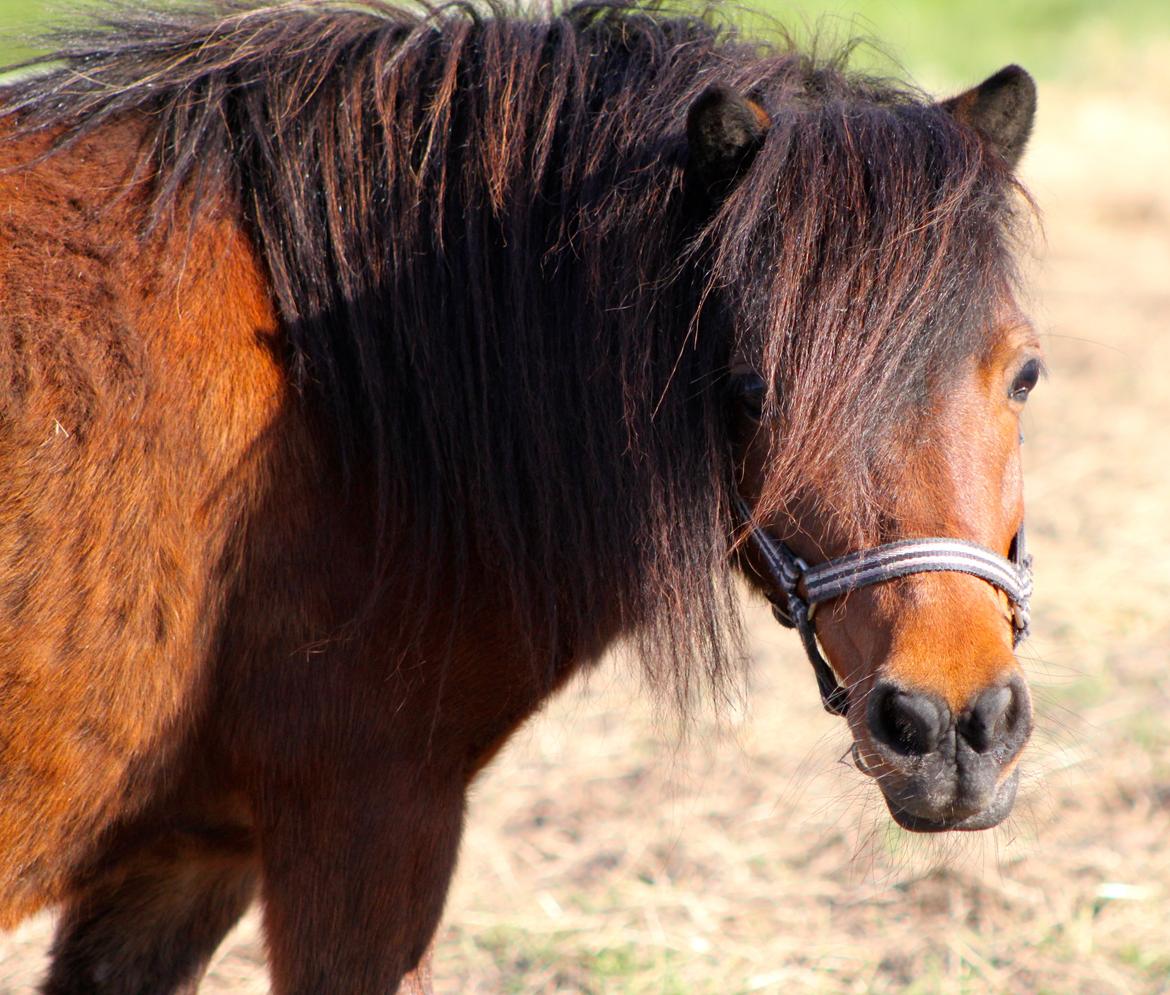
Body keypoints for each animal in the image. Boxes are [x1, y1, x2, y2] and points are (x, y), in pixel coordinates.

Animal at [0, 3, 1043, 987]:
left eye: (1025, 373)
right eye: (752, 390)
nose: (953, 727)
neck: (344, 400)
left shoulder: (188, 854)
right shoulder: (368, 815)